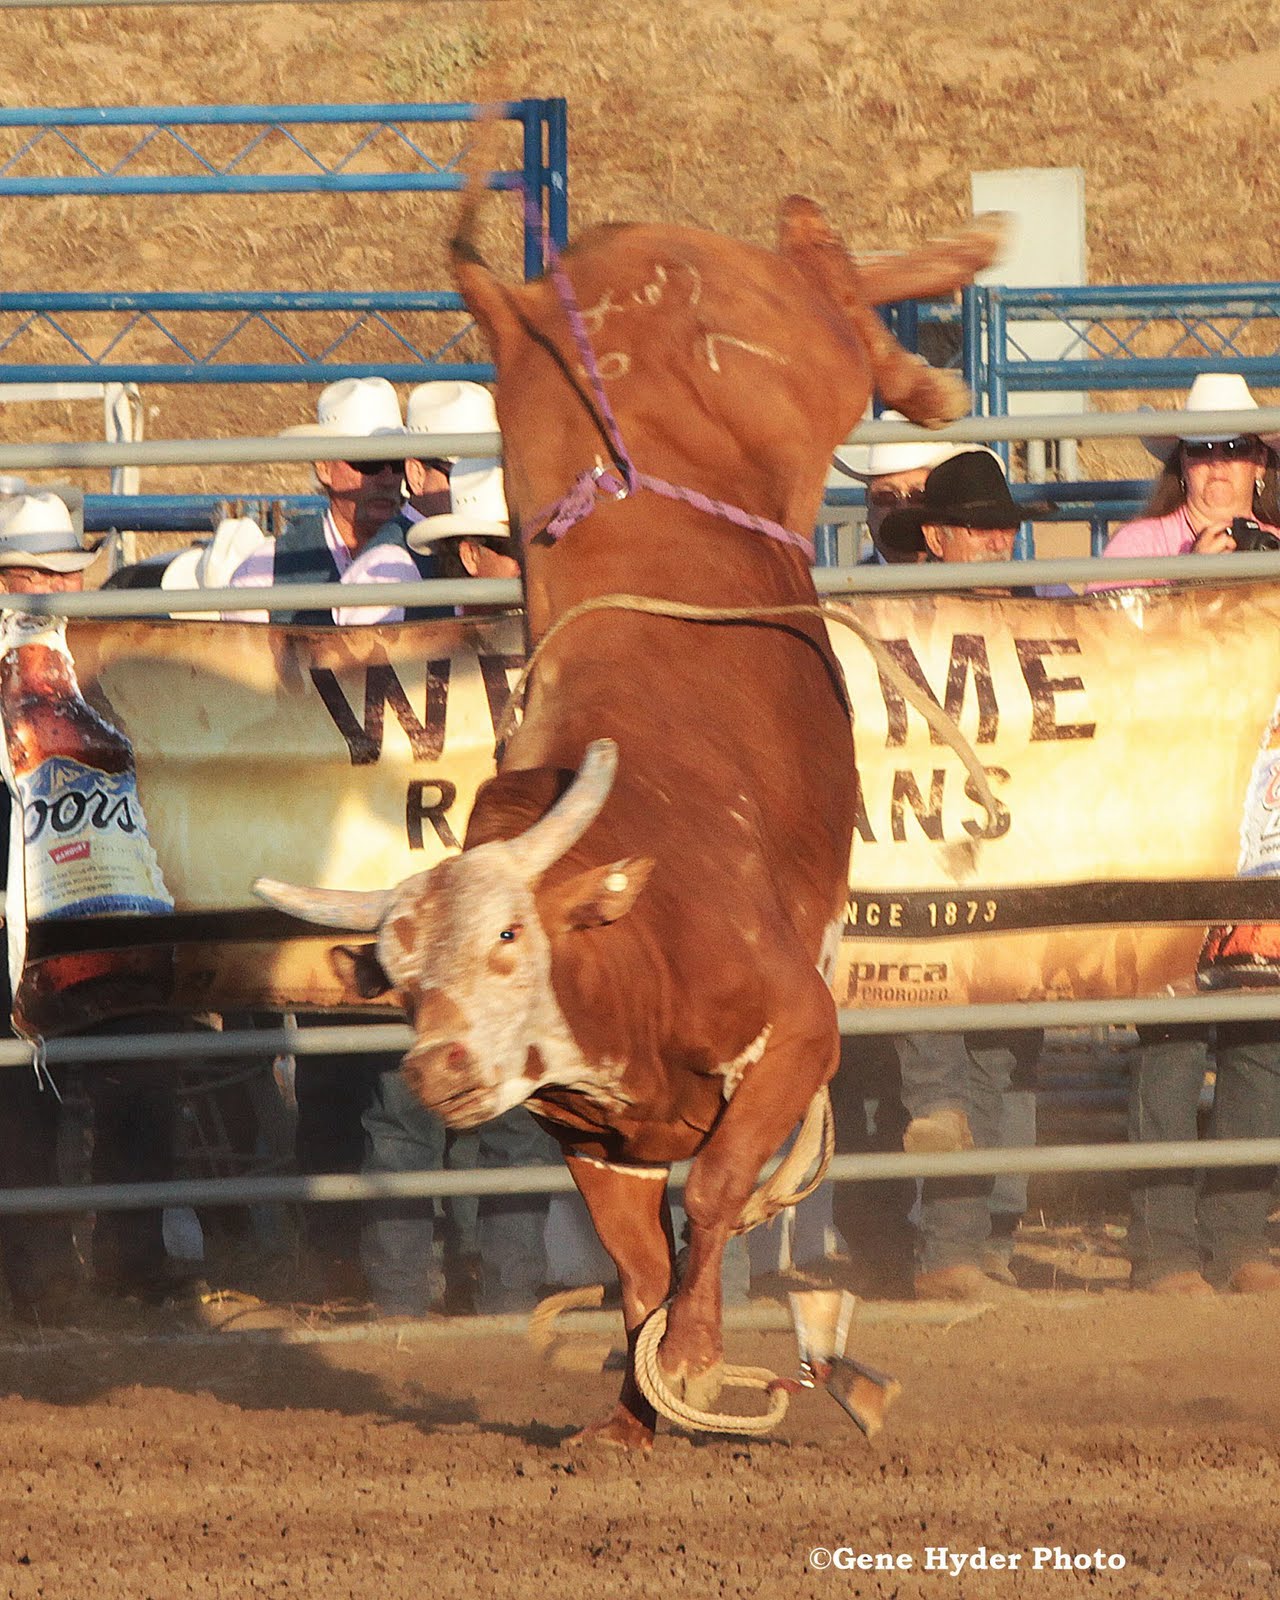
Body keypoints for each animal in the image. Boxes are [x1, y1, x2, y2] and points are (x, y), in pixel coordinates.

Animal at [256, 196, 1004, 1449]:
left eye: (510, 937)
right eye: (397, 977)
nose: (437, 1065)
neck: (628, 949)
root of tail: (547, 288)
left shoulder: (798, 1029)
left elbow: (712, 1193)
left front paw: (693, 1362)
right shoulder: (591, 1141)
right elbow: (634, 1262)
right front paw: (628, 1416)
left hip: (789, 355)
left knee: (823, 283)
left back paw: (937, 336)